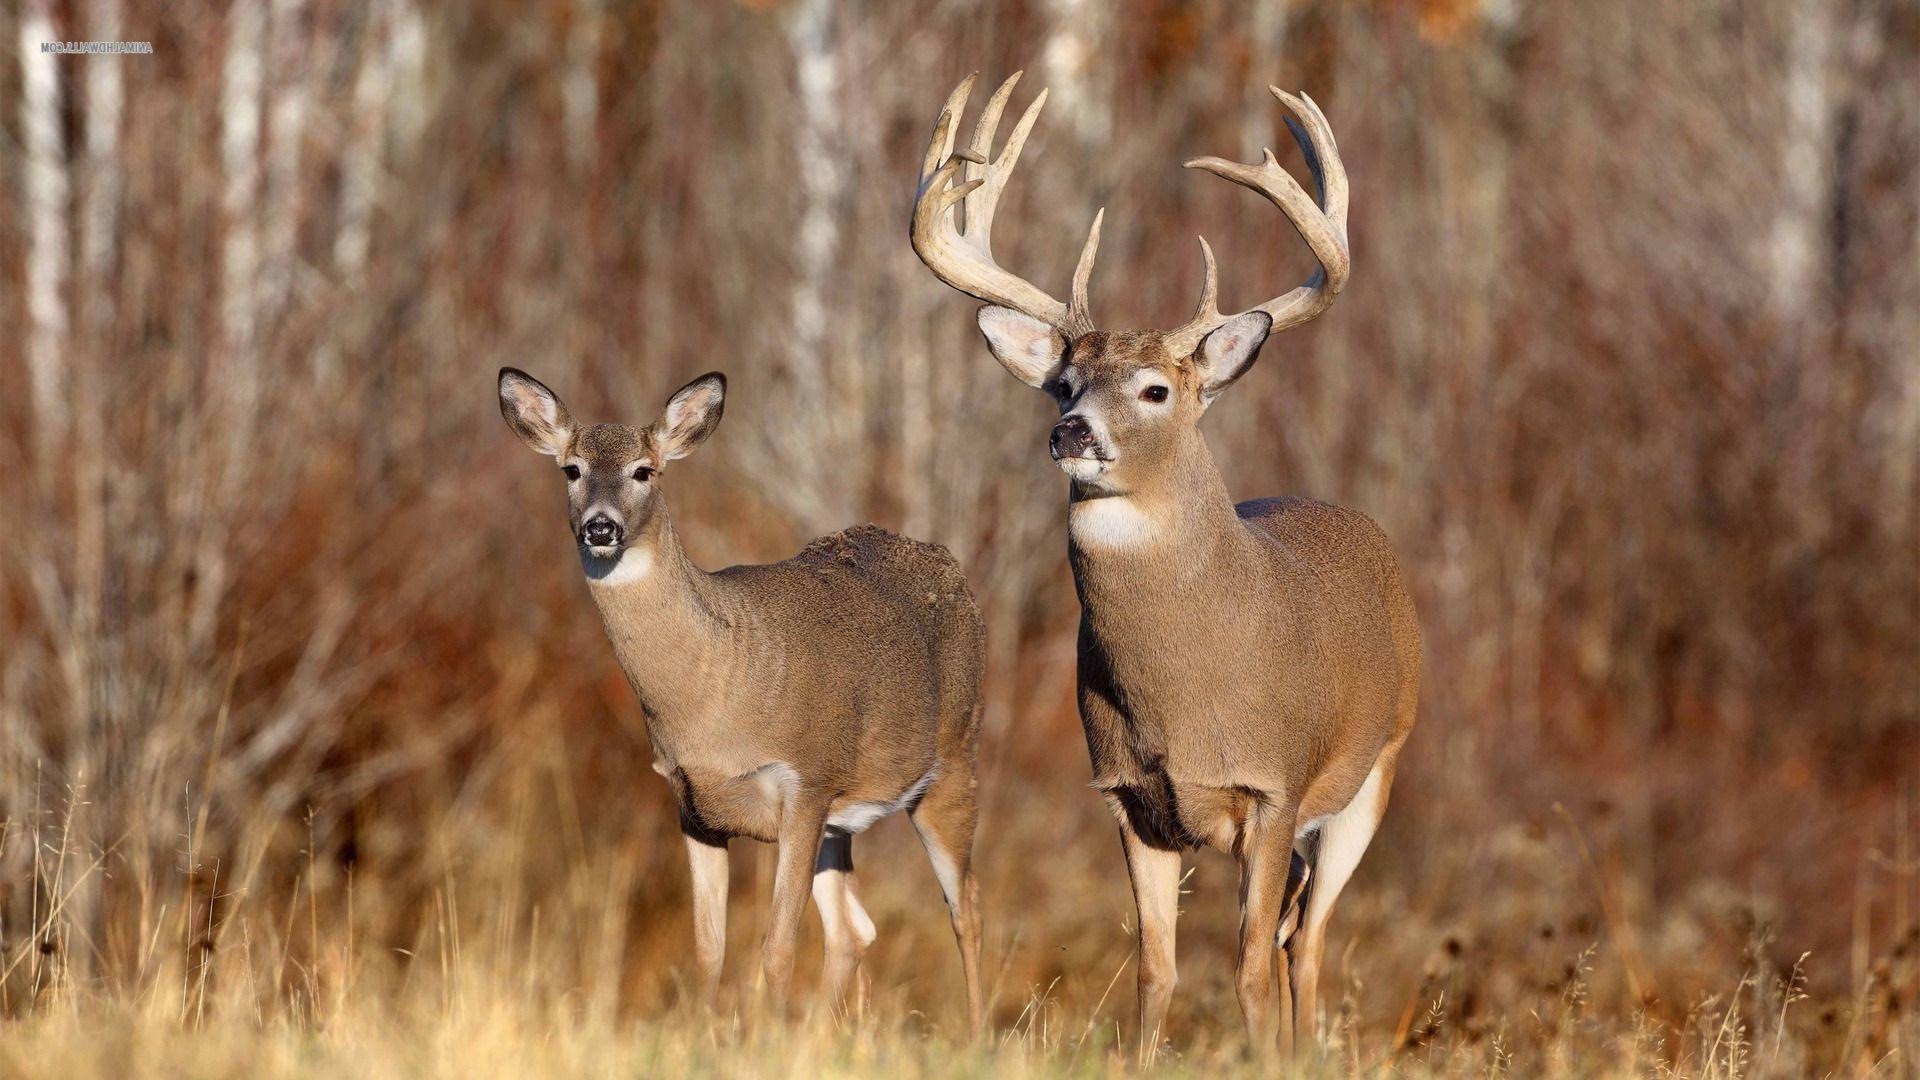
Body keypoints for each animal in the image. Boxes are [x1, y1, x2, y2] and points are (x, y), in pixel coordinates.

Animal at [497, 368, 987, 1033]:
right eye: (571, 469)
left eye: (644, 471)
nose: (601, 527)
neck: (715, 695)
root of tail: (951, 567)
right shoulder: (693, 807)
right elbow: (710, 947)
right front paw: (705, 1036)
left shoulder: (805, 784)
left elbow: (776, 947)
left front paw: (762, 1036)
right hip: (842, 820)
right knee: (854, 930)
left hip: (953, 759)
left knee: (966, 908)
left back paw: (980, 1034)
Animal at [908, 73, 1421, 1057]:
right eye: (1063, 385)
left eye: (1154, 391)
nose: (1071, 433)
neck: (1184, 696)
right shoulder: (1128, 796)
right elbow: (1156, 970)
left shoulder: (1272, 786)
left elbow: (1247, 969)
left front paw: (1263, 1059)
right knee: (1297, 935)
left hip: (1373, 775)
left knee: (1306, 944)